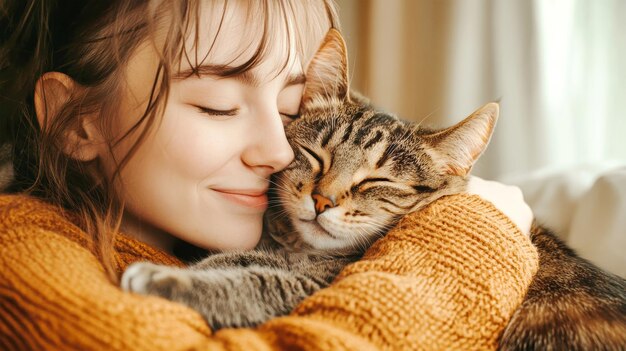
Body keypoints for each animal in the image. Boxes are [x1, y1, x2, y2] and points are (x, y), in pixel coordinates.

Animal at [122, 28, 624, 350]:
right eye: (316, 155)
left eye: (376, 181)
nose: (322, 200)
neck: (301, 250)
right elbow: (241, 259)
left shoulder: (314, 284)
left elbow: (252, 281)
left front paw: (163, 279)